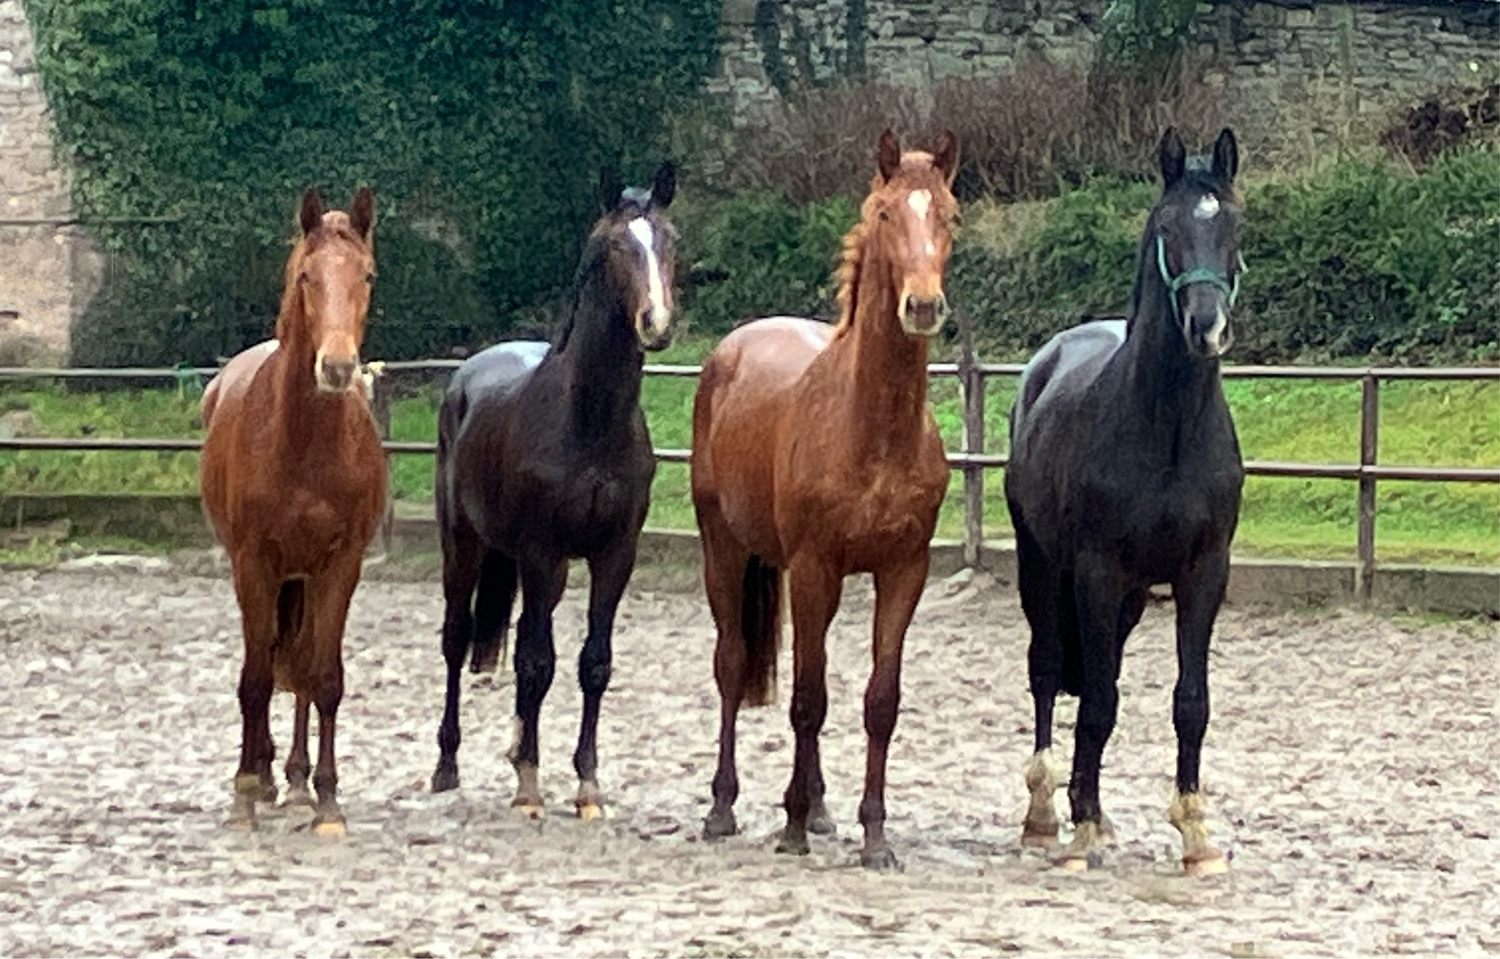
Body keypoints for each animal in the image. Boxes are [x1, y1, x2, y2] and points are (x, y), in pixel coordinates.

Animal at [199, 186, 384, 834]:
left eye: (367, 274)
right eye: (307, 275)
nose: (337, 367)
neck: (303, 443)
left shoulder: (339, 566)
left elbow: (322, 677)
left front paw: (327, 799)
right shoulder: (254, 565)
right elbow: (255, 680)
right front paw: (245, 792)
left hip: (303, 576)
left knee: (300, 666)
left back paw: (299, 781)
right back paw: (260, 773)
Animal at [435, 159, 681, 816]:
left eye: (669, 241)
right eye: (615, 247)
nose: (655, 324)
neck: (588, 421)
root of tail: (464, 377)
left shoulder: (613, 553)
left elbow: (592, 663)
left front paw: (587, 784)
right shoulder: (542, 550)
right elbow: (537, 662)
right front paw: (530, 783)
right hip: (465, 545)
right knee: (458, 640)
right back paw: (448, 766)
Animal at [693, 131, 960, 876]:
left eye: (950, 216)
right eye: (886, 214)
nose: (922, 306)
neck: (872, 431)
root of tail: (730, 348)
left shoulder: (903, 571)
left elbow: (878, 701)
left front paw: (875, 835)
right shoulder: (813, 567)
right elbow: (807, 700)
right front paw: (787, 827)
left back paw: (817, 806)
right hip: (725, 548)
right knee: (733, 664)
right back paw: (724, 807)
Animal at [1002, 129, 1248, 876]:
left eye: (1234, 225)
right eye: (1168, 228)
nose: (1206, 325)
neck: (1166, 426)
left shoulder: (1203, 573)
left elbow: (1189, 701)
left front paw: (1195, 833)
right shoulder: (1096, 571)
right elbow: (1099, 698)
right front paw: (1077, 829)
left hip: (1134, 596)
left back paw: (1095, 807)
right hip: (1043, 568)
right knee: (1049, 669)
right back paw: (1047, 813)